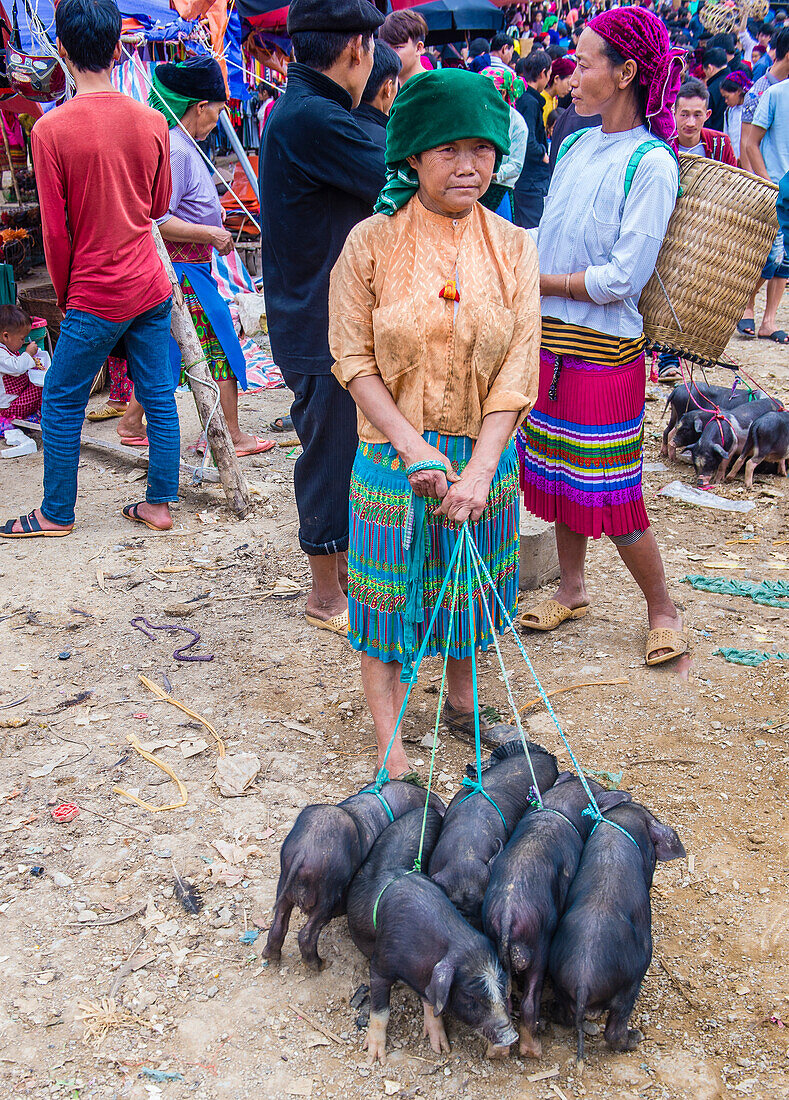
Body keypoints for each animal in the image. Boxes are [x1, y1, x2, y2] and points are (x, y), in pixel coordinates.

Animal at [263, 778, 442, 968]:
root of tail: (303, 852)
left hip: (284, 882)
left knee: (279, 923)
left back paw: (271, 957)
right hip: (327, 892)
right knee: (307, 933)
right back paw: (320, 965)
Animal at [345, 809, 517, 1064]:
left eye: (503, 987)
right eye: (470, 997)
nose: (510, 1037)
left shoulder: (427, 976)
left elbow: (431, 1001)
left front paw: (441, 1048)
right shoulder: (380, 964)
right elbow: (380, 1010)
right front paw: (375, 1058)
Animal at [484, 774, 629, 1056]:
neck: (560, 806)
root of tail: (507, 915)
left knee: (504, 1001)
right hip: (539, 948)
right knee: (529, 1002)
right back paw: (534, 1048)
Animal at [548, 800, 682, 1064]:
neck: (620, 823)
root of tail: (583, 980)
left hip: (561, 982)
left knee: (566, 1016)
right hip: (630, 984)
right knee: (614, 1030)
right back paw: (636, 1037)